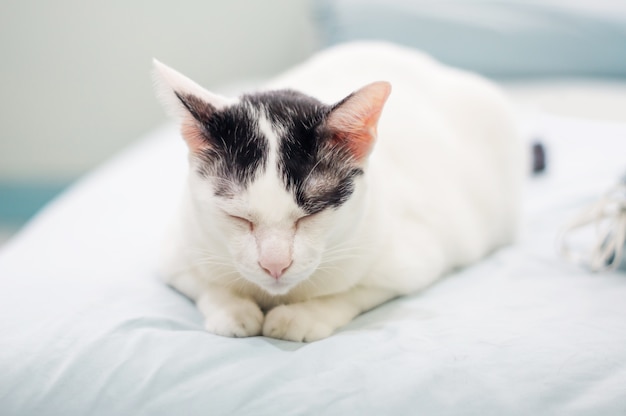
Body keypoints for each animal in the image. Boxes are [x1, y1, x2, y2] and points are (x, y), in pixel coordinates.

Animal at [155, 41, 520, 342]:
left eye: (312, 214)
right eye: (237, 216)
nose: (275, 266)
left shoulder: (412, 261)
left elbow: (349, 292)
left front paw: (301, 316)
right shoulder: (176, 252)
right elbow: (205, 285)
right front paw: (233, 310)